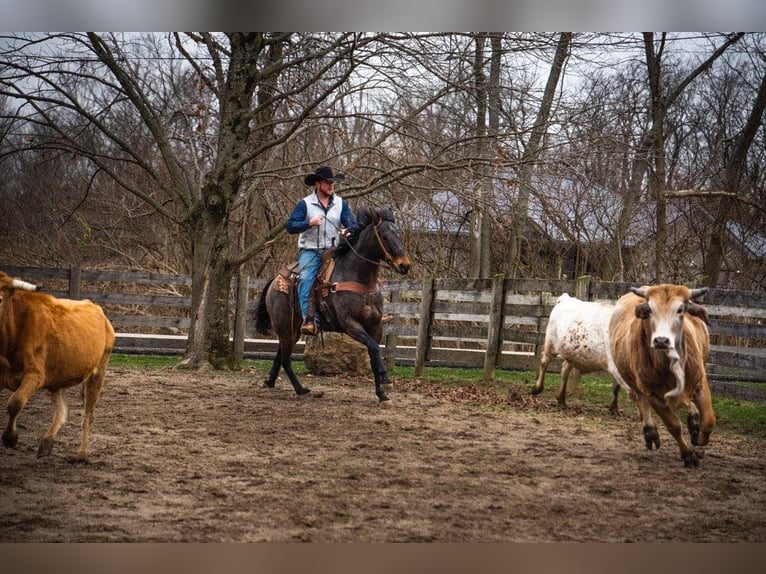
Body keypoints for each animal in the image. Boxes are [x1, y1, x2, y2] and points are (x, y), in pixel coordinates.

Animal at [0, 272, 115, 462]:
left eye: (0, 298)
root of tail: (98, 310)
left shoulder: (35, 375)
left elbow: (15, 403)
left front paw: (10, 438)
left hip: (98, 372)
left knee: (88, 415)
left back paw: (82, 453)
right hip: (58, 378)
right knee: (62, 411)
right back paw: (47, 443)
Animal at [256, 208, 414, 404]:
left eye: (398, 234)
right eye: (384, 236)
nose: (405, 265)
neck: (360, 280)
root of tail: (274, 281)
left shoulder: (376, 326)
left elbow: (373, 353)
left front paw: (382, 393)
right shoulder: (350, 324)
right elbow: (374, 348)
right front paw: (386, 380)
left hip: (291, 328)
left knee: (280, 356)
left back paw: (271, 382)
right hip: (284, 326)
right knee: (285, 359)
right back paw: (300, 389)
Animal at [608, 284, 716, 468]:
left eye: (680, 309)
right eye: (650, 309)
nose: (661, 341)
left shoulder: (700, 383)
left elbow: (708, 421)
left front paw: (698, 440)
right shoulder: (652, 393)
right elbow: (673, 425)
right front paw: (688, 454)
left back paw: (693, 422)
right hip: (632, 381)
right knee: (640, 400)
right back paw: (650, 432)